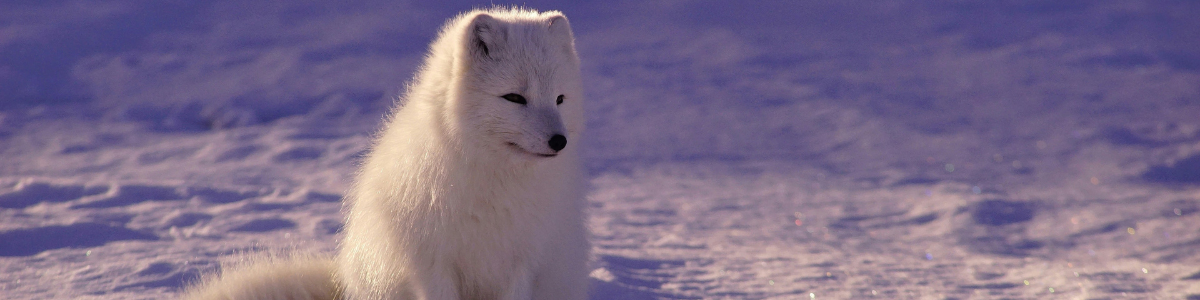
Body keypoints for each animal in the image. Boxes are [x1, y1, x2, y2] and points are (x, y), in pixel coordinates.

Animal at [180, 7, 588, 300]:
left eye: (560, 99)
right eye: (514, 98)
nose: (559, 141)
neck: (495, 184)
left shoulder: (524, 263)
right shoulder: (431, 264)